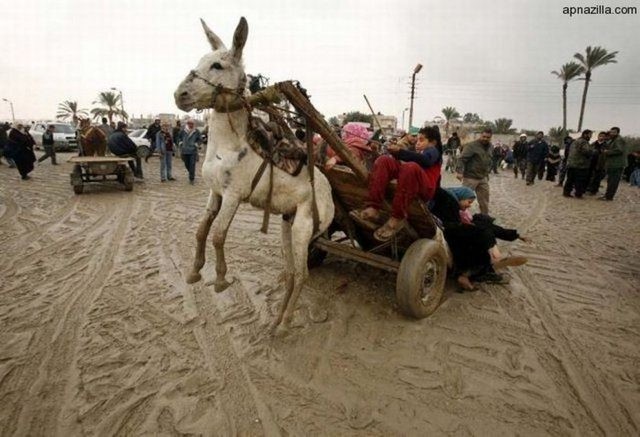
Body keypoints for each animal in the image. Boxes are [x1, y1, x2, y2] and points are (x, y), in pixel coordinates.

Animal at [174, 17, 336, 326]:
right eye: (201, 61)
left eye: (217, 66)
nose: (180, 95)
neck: (228, 144)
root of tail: (331, 194)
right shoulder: (214, 193)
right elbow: (201, 231)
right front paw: (194, 272)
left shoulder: (233, 195)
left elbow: (218, 235)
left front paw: (221, 280)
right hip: (287, 224)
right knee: (291, 272)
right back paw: (277, 321)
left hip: (304, 228)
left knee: (302, 275)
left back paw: (285, 323)